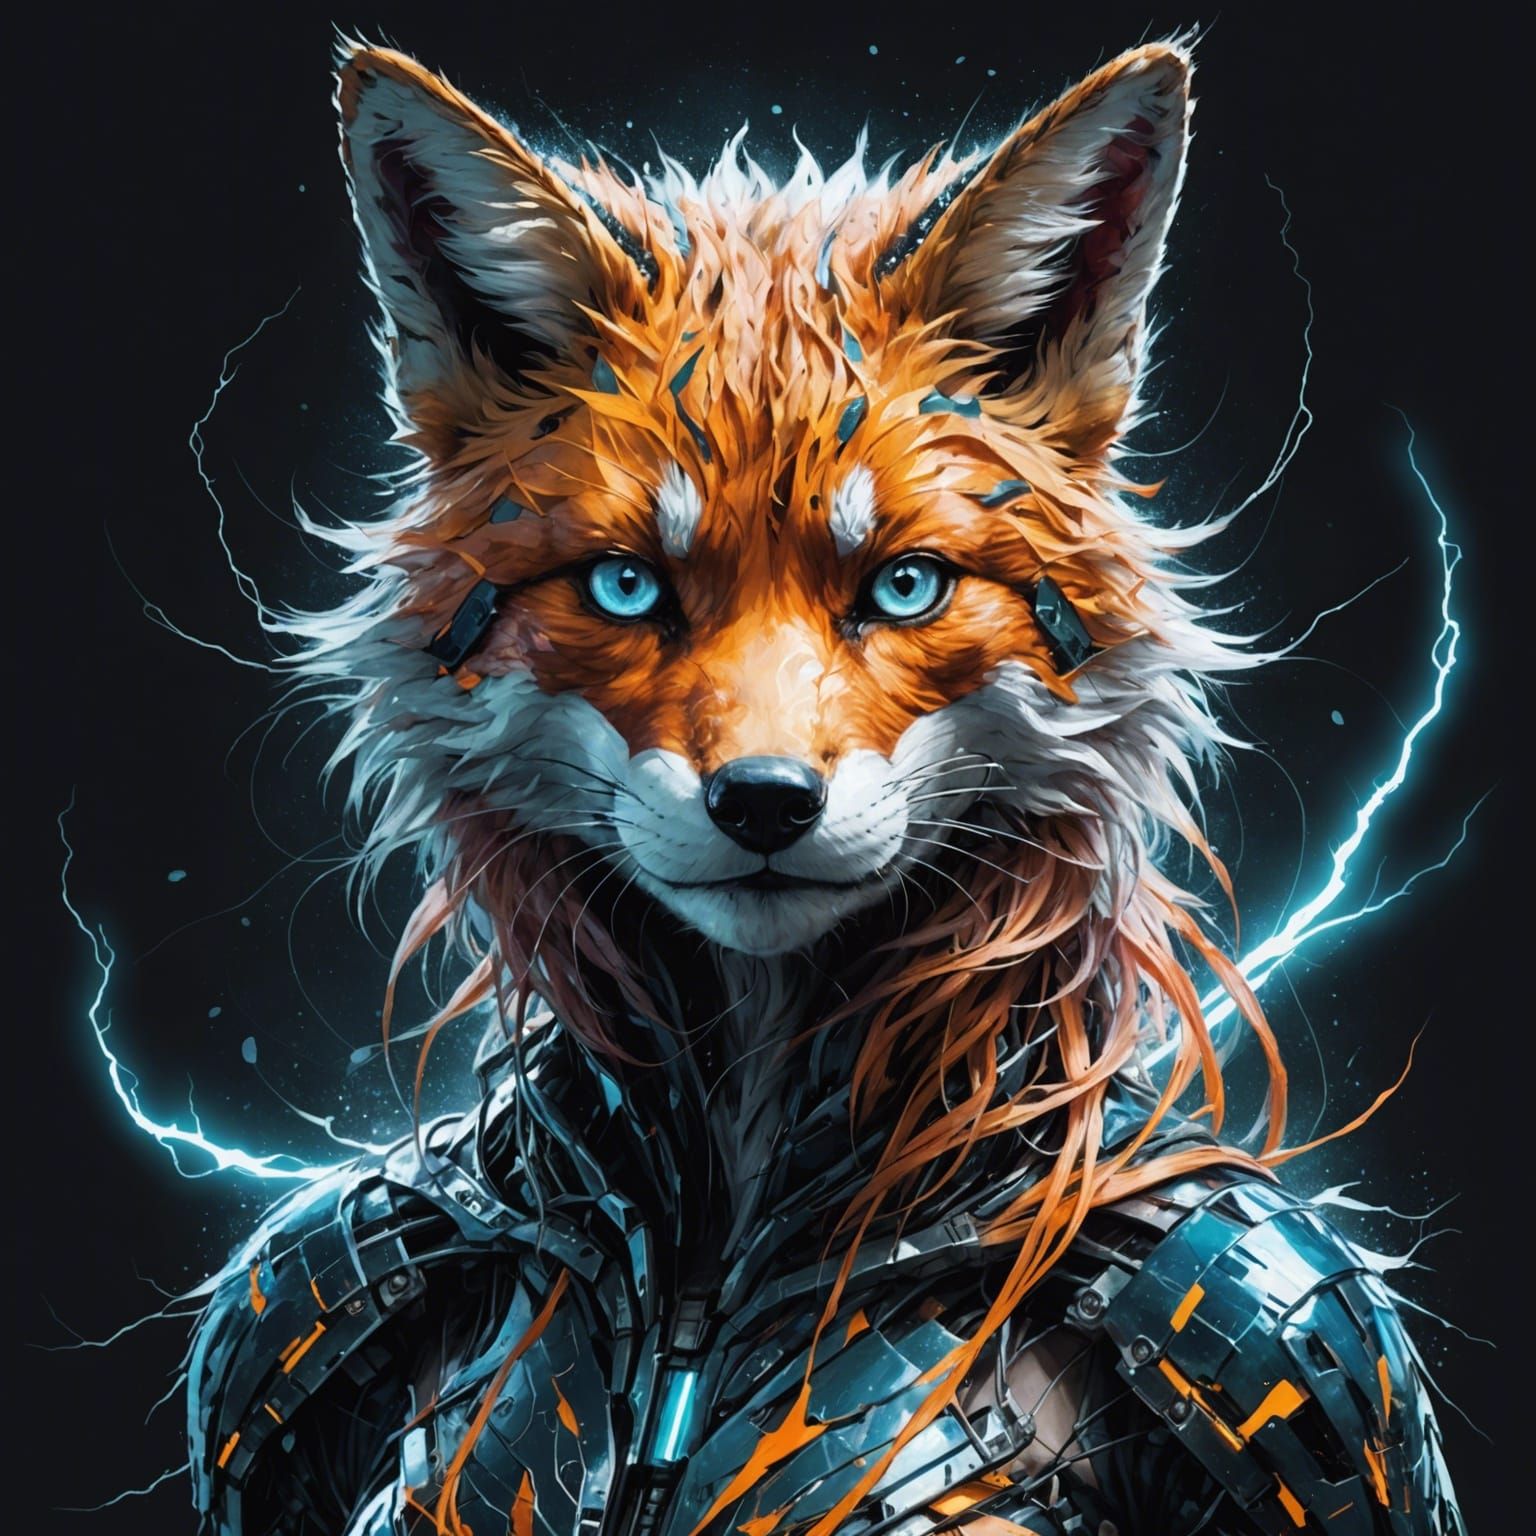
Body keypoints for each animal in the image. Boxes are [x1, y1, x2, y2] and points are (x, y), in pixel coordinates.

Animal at [186, 37, 1464, 1536]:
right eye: (627, 586)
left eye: (904, 586)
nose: (764, 802)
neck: (723, 1241)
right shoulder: (290, 1297)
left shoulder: (1283, 1322)